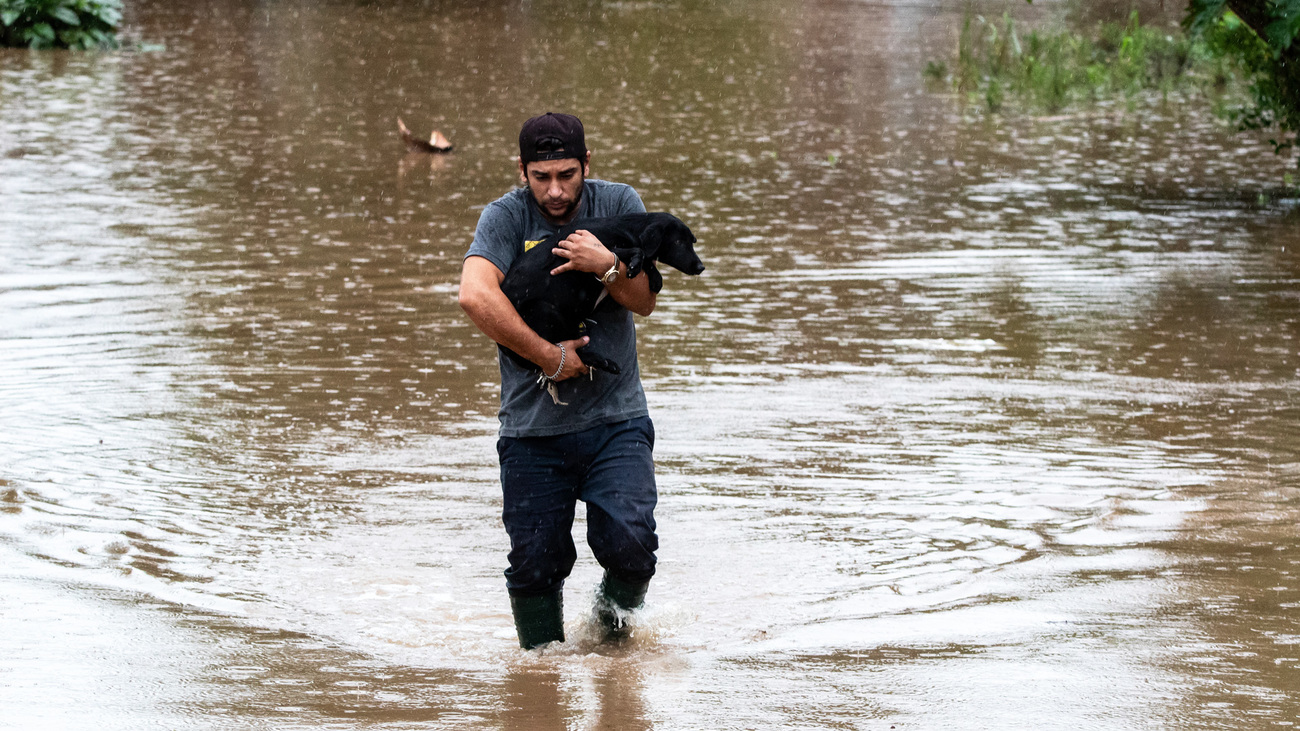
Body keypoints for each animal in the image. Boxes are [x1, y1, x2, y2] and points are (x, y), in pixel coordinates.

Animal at [499, 210, 707, 374]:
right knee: (563, 349)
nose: (701, 267)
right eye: (678, 242)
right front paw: (636, 265)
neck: (627, 228)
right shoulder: (600, 249)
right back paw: (602, 361)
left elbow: (644, 257)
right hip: (543, 310)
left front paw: (655, 277)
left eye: (692, 241)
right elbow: (635, 251)